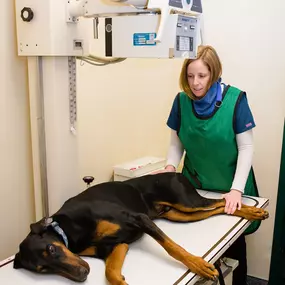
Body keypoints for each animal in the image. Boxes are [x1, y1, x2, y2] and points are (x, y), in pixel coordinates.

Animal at [12, 172, 266, 282]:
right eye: (42, 269)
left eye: (51, 249)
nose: (82, 275)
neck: (70, 231)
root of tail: (176, 172)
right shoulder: (116, 246)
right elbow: (111, 272)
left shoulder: (139, 219)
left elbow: (173, 248)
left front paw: (198, 265)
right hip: (180, 215)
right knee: (218, 208)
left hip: (187, 202)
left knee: (222, 201)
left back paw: (253, 211)